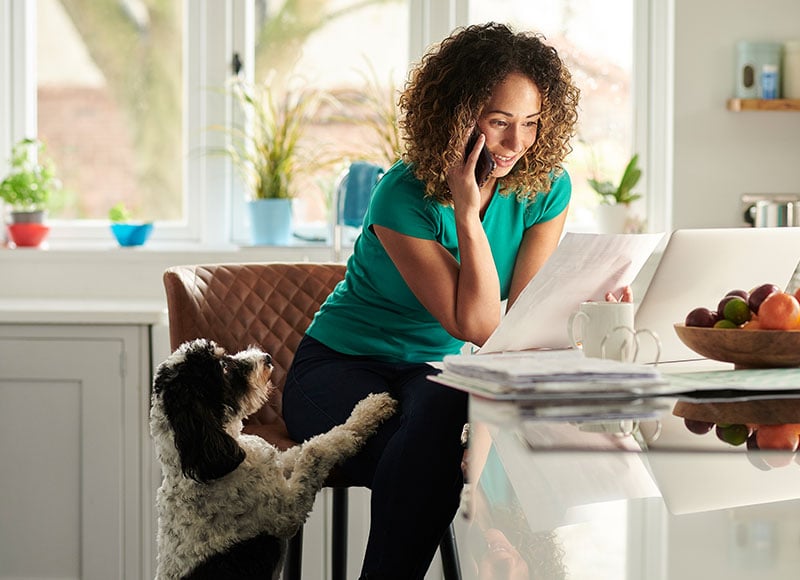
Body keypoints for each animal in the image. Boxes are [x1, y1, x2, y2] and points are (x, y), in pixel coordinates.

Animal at [149, 338, 394, 576]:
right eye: (224, 367)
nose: (266, 357)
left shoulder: (273, 465)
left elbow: (297, 451)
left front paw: (369, 410)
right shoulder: (287, 513)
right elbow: (315, 449)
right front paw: (361, 419)